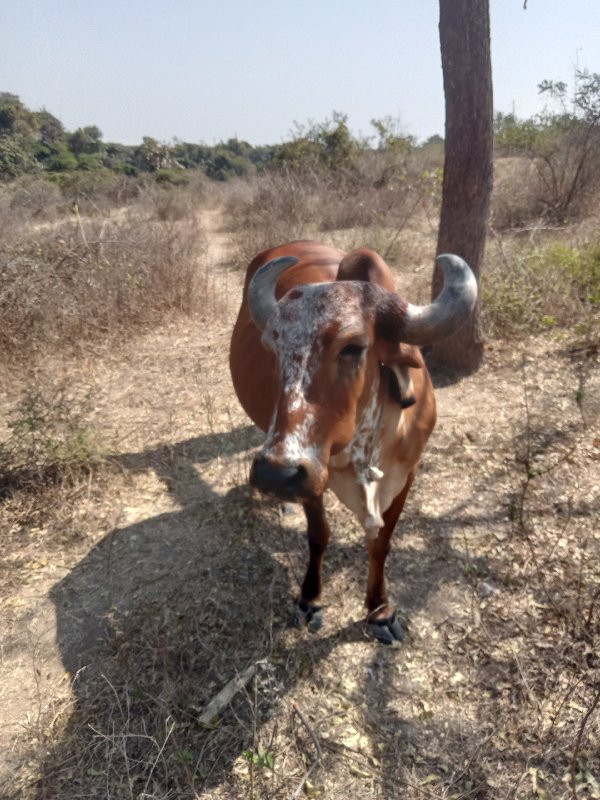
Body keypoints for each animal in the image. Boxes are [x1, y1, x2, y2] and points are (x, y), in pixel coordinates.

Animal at [227, 239, 476, 644]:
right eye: (273, 348)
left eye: (353, 347)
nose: (275, 475)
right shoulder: (313, 475)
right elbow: (319, 534)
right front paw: (309, 599)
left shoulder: (408, 471)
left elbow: (381, 541)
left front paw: (379, 610)